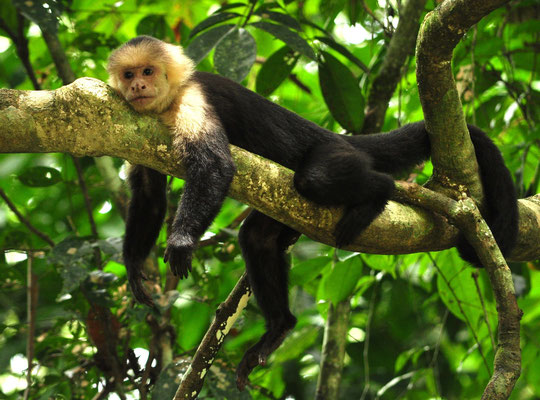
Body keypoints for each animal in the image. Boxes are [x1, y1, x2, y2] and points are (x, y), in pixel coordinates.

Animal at [106, 36, 520, 390]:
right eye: (128, 74)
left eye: (148, 72)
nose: (137, 87)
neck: (167, 102)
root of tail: (336, 136)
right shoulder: (140, 130)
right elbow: (149, 195)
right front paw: (134, 265)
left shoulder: (192, 99)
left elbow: (215, 166)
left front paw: (181, 241)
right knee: (257, 237)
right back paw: (278, 326)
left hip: (334, 156)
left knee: (315, 180)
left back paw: (378, 193)